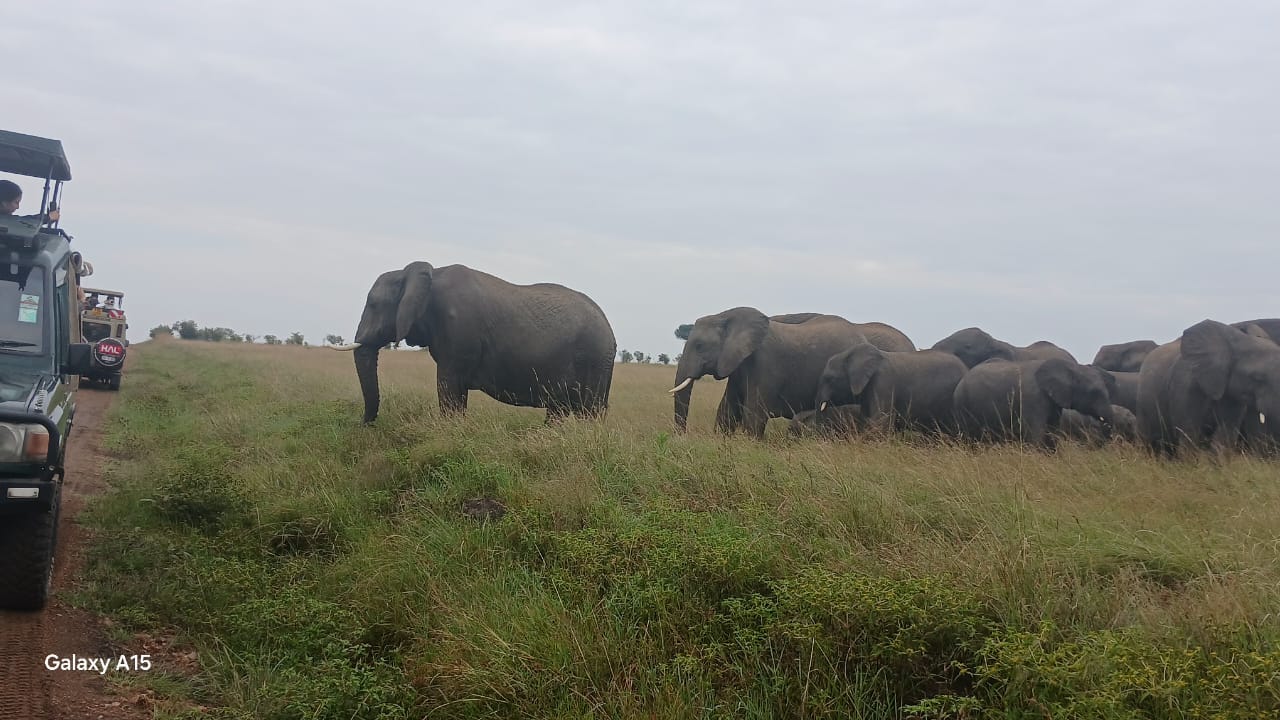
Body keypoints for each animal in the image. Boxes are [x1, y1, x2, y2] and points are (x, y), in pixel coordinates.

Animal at [339, 261, 616, 423]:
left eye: (373, 304)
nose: (365, 424)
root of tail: (610, 329)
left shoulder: (459, 334)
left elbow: (448, 387)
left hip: (594, 360)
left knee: (588, 412)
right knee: (559, 410)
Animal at [669, 307, 915, 439]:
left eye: (700, 346)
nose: (682, 437)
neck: (727, 316)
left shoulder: (765, 364)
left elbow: (754, 413)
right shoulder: (737, 365)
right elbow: (727, 410)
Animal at [953, 357, 1114, 447]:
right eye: (1094, 392)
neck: (1070, 368)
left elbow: (1052, 431)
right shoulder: (1032, 398)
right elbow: (1036, 433)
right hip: (963, 405)